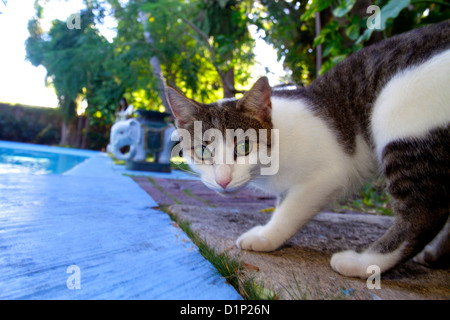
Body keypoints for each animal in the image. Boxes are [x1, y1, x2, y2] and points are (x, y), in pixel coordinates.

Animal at [165, 20, 450, 278]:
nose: (223, 180)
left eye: (244, 146)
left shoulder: (328, 175)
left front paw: (267, 236)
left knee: (424, 213)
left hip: (399, 113)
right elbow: (282, 202)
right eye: (202, 151)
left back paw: (363, 264)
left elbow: (290, 210)